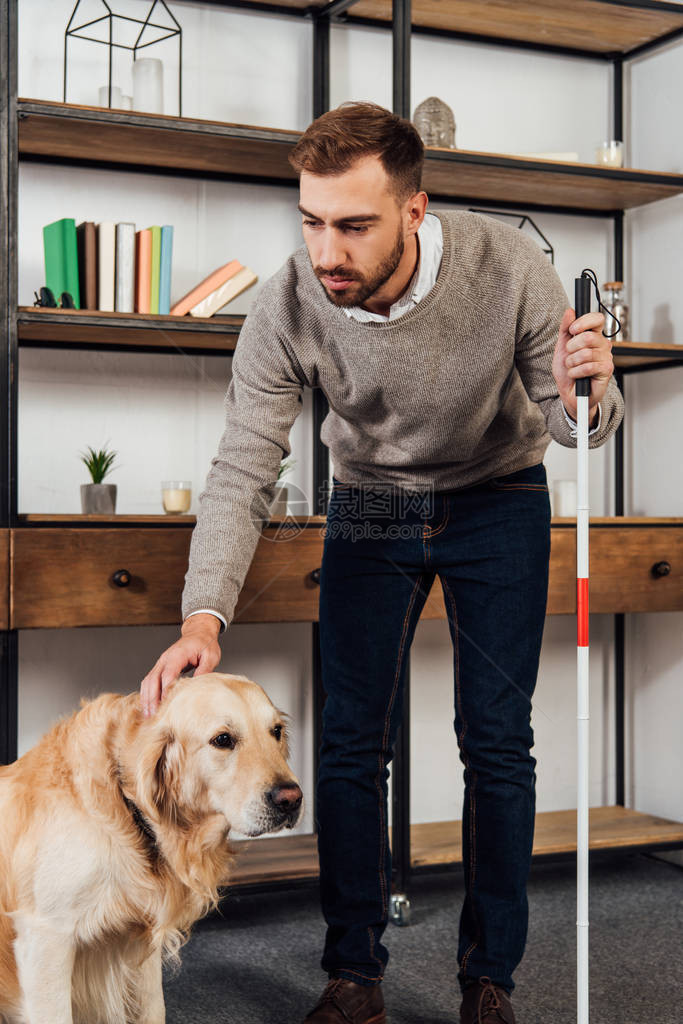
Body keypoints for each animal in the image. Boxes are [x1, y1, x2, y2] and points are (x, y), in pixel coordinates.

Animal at [0, 667, 301, 1019]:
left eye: (276, 731)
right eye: (223, 740)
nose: (291, 799)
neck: (124, 805)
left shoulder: (141, 937)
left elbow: (154, 1007)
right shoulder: (46, 936)